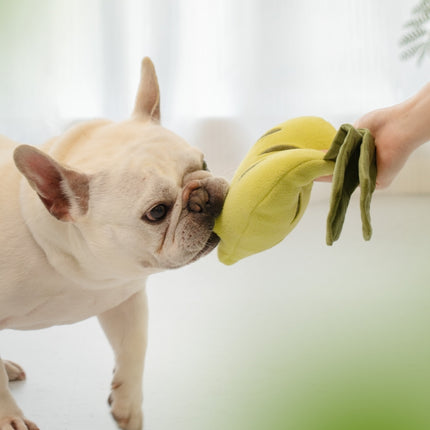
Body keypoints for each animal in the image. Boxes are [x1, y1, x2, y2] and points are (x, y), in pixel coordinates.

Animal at [0, 58, 228, 430]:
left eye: (204, 164)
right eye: (157, 212)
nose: (204, 198)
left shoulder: (124, 298)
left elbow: (134, 347)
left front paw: (128, 404)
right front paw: (9, 417)